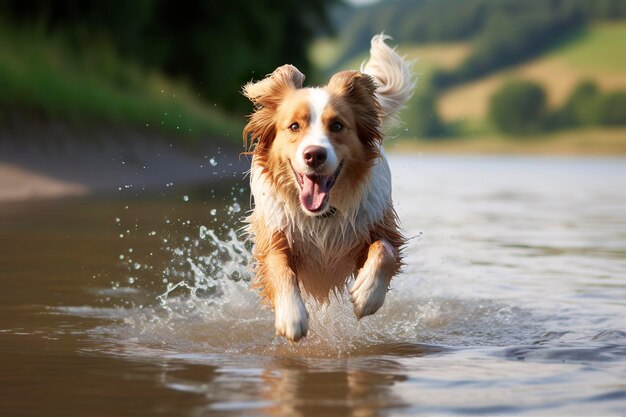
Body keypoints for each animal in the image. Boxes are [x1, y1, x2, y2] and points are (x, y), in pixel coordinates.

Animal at [241, 34, 412, 342]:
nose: (314, 155)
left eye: (337, 125)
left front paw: (367, 294)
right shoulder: (273, 234)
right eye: (294, 126)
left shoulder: (379, 224)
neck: (320, 216)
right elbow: (278, 266)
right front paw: (292, 316)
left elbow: (385, 250)